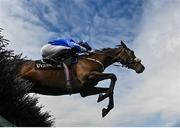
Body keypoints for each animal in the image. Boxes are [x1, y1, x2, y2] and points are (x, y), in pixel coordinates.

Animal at [17, 41, 145, 117]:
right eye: (131, 52)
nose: (142, 67)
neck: (94, 60)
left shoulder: (85, 90)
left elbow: (109, 91)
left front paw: (106, 106)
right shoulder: (87, 77)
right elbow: (113, 76)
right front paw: (103, 97)